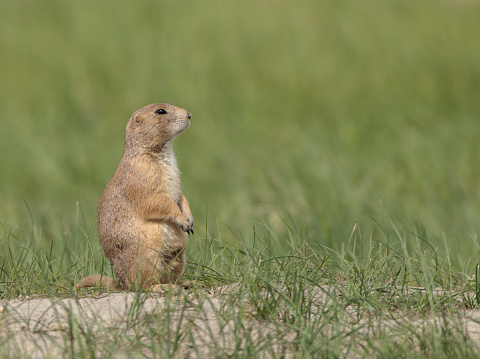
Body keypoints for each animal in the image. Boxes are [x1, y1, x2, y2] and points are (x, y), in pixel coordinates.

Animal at [77, 103, 193, 292]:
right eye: (160, 111)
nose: (189, 114)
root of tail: (122, 283)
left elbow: (180, 195)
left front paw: (189, 217)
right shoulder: (142, 176)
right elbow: (157, 201)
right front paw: (182, 220)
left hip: (178, 258)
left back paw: (185, 283)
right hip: (147, 257)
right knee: (142, 285)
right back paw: (162, 287)